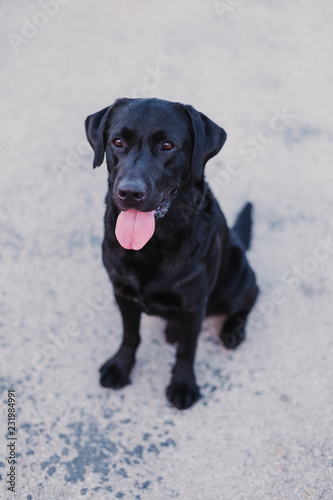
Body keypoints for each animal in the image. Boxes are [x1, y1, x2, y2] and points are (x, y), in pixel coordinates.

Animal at [84, 98, 258, 410]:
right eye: (117, 142)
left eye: (167, 145)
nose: (130, 192)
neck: (152, 245)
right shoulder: (122, 291)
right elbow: (130, 335)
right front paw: (120, 367)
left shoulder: (193, 303)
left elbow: (187, 349)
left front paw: (183, 384)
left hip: (237, 278)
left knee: (251, 296)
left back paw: (232, 331)